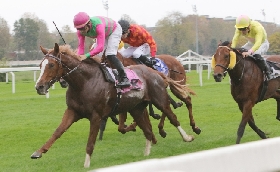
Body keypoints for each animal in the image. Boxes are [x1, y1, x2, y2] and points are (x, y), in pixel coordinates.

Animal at [30, 43, 195, 168]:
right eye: (40, 65)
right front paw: (38, 152)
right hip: (136, 108)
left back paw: (188, 136)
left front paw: (86, 165)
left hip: (160, 99)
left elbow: (91, 142)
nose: (39, 87)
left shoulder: (96, 116)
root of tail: (154, 71)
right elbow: (58, 131)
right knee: (147, 130)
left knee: (173, 115)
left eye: (51, 65)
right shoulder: (72, 111)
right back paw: (147, 154)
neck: (84, 82)